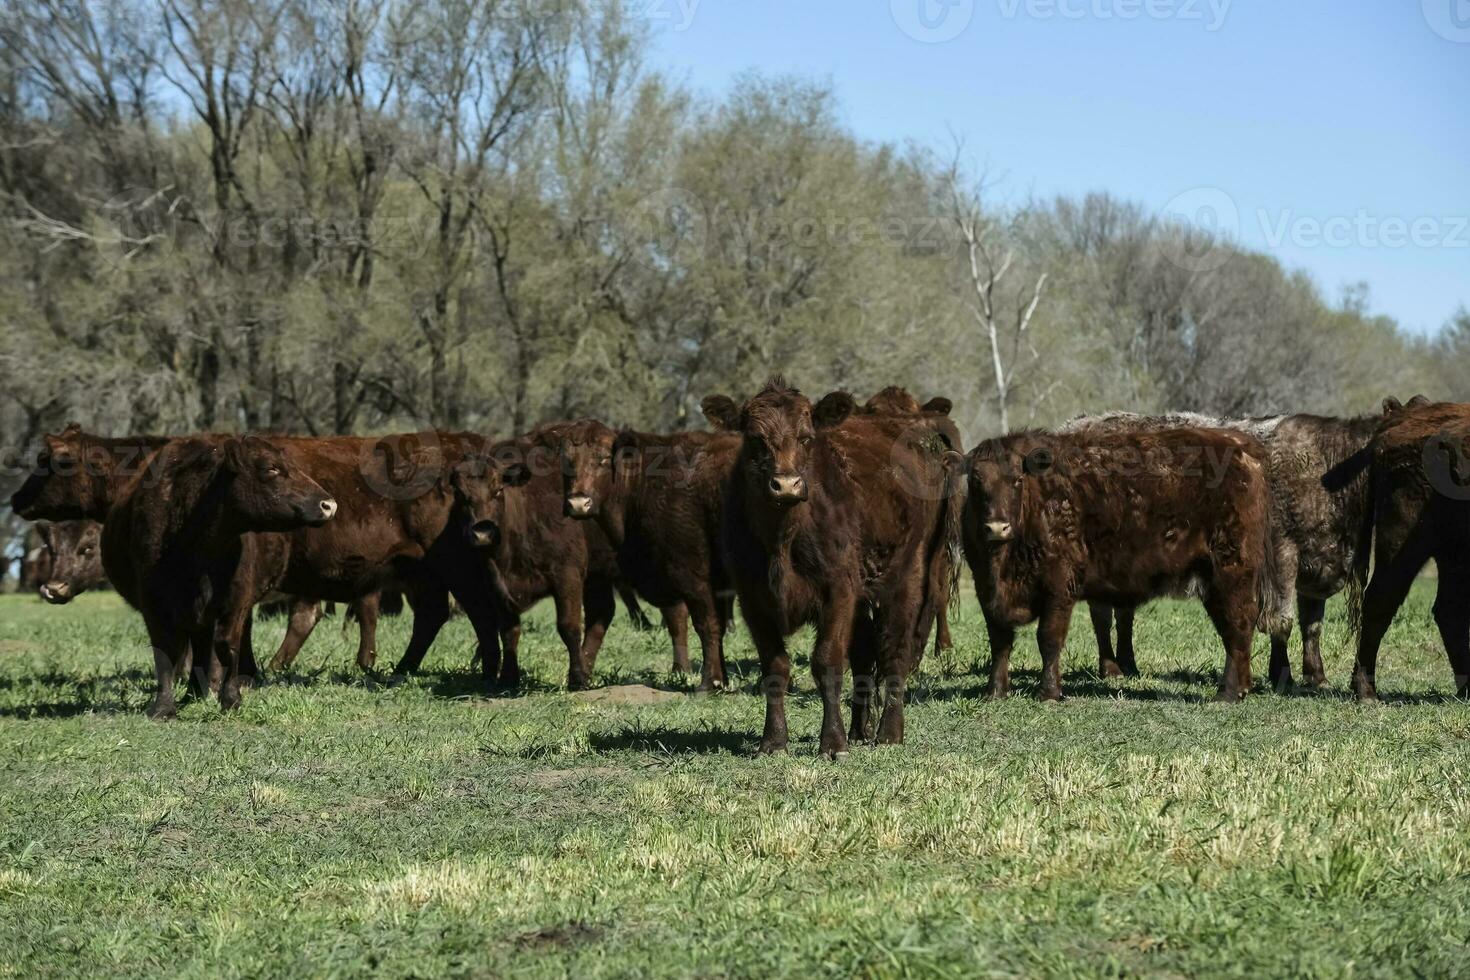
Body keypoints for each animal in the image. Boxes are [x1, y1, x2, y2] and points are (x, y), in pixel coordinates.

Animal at [102, 440, 336, 717]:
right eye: (271, 468)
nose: (329, 504)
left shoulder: (235, 602)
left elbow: (227, 646)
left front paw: (231, 699)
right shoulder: (153, 606)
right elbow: (165, 652)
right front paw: (163, 708)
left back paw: (196, 693)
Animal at [552, 423, 740, 690]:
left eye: (603, 459)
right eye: (567, 461)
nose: (578, 503)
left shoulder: (693, 575)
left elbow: (707, 624)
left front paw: (709, 682)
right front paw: (721, 679)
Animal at [699, 382, 964, 758]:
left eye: (806, 438)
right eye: (754, 439)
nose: (786, 484)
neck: (782, 537)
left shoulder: (838, 591)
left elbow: (827, 662)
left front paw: (833, 742)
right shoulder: (752, 600)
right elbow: (775, 666)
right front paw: (774, 741)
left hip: (909, 576)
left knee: (894, 652)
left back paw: (889, 732)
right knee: (865, 656)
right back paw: (860, 729)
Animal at [964, 426, 1287, 702]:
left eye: (1017, 480)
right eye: (975, 481)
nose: (997, 527)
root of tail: (1242, 446)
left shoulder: (1059, 586)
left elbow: (1049, 639)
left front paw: (1049, 693)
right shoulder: (986, 589)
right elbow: (1000, 642)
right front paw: (994, 691)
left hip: (1232, 571)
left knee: (1238, 624)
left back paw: (1228, 693)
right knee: (1231, 628)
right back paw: (1240, 687)